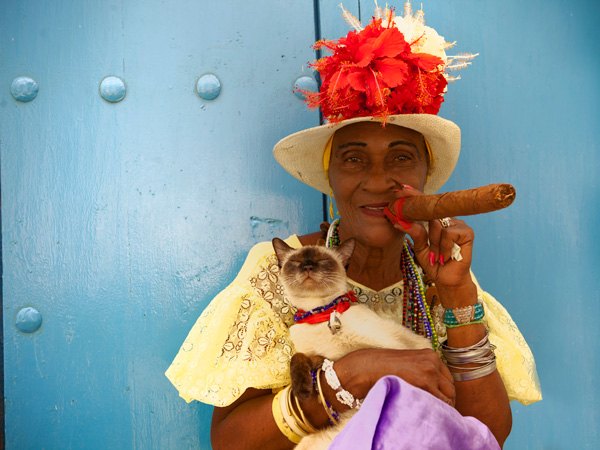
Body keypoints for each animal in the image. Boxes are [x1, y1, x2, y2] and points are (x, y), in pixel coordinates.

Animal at [272, 237, 432, 448]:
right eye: (296, 262)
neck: (321, 315)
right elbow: (298, 358)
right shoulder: (322, 357)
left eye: (323, 260)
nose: (307, 267)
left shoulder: (394, 349)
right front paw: (302, 391)